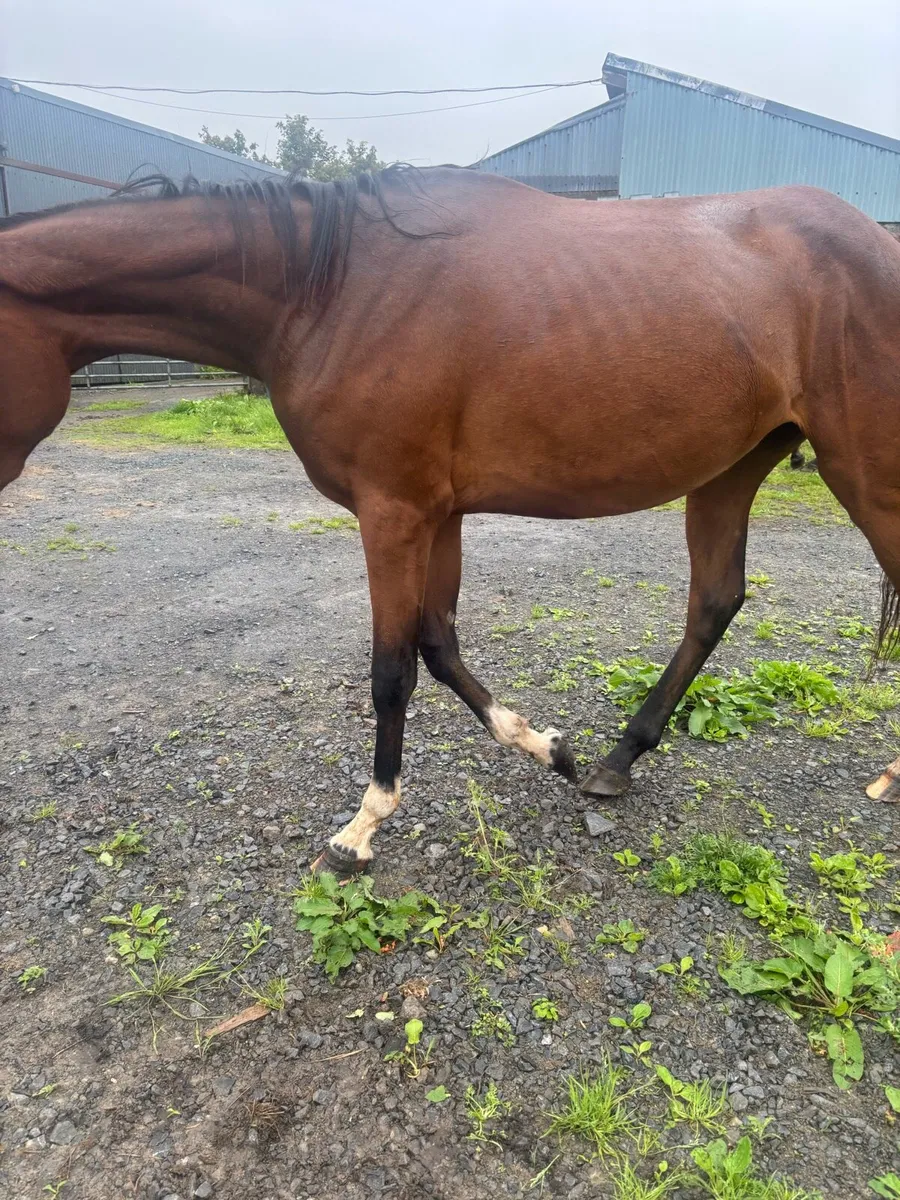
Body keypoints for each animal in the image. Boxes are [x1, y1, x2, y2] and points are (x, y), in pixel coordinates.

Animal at [3, 167, 900, 876]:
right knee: (714, 602)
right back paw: (617, 759)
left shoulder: (392, 512)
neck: (330, 291)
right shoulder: (440, 514)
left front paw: (362, 827)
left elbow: (391, 668)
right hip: (731, 468)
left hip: (866, 474)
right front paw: (550, 748)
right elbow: (438, 645)